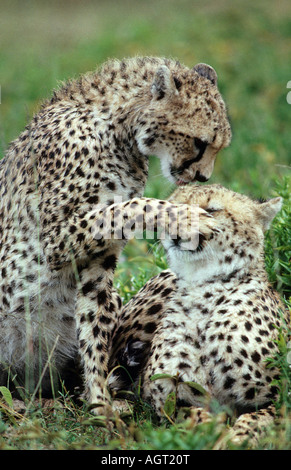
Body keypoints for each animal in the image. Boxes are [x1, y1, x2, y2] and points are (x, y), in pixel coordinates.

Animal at [0, 56, 232, 412]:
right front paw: (186, 216)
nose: (203, 177)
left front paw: (100, 404)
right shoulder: (54, 239)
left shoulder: (95, 258)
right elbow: (132, 205)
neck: (120, 130)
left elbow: (94, 325)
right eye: (199, 142)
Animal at [109, 185, 290, 444]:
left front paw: (236, 439)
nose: (172, 229)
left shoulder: (281, 394)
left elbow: (258, 419)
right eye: (169, 210)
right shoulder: (168, 395)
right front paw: (216, 434)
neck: (202, 291)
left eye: (210, 210)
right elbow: (196, 417)